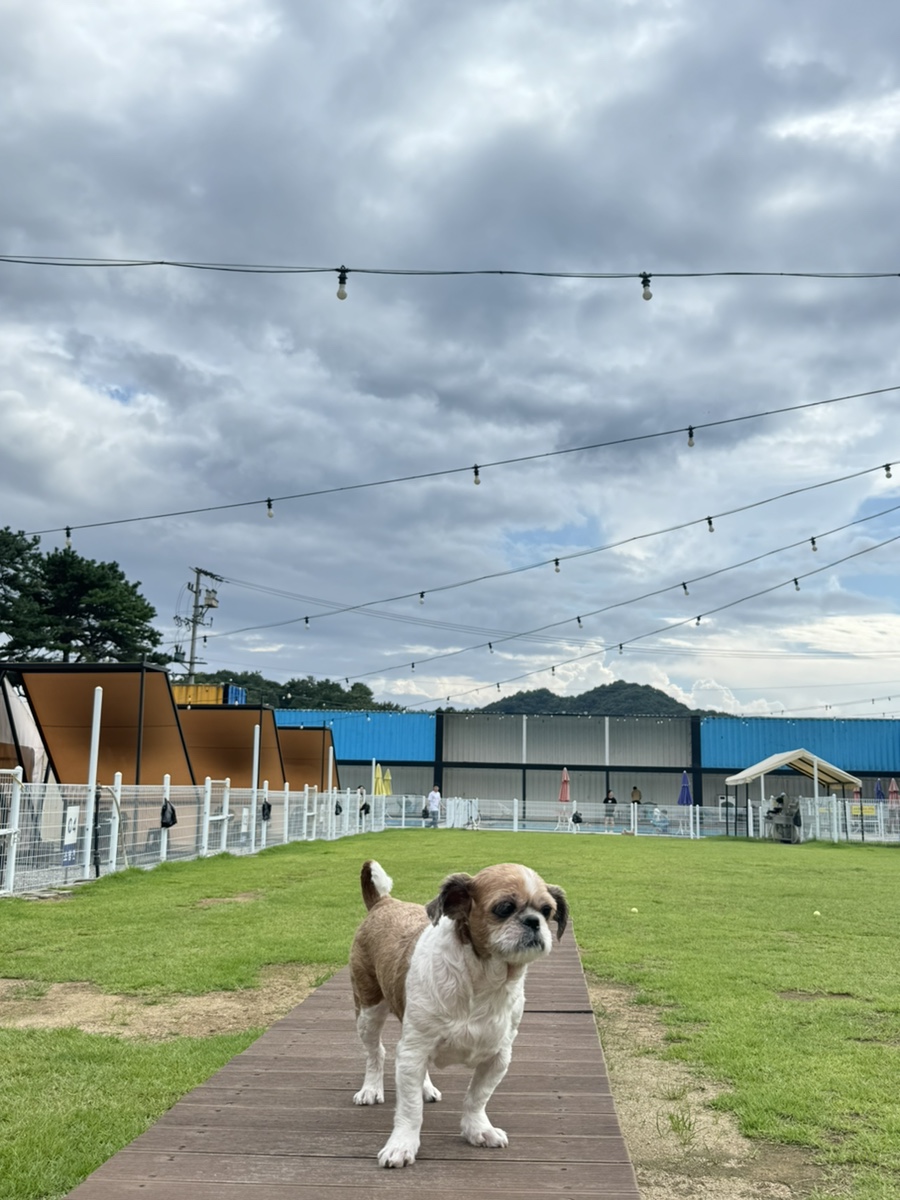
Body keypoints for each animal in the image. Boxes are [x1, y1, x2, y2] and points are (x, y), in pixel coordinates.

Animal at [350, 859, 568, 1168]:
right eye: (504, 907)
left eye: (547, 910)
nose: (534, 921)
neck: (483, 981)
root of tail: (384, 902)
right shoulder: (413, 1050)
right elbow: (410, 1109)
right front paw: (402, 1144)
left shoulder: (498, 1057)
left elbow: (477, 1097)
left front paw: (478, 1129)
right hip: (368, 1012)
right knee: (375, 1052)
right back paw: (371, 1088)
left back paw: (425, 1087)